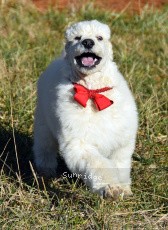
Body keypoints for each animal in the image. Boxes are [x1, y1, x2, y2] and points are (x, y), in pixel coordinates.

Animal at [33, 20, 138, 199]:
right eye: (77, 38)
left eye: (100, 38)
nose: (88, 42)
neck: (92, 91)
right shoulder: (79, 143)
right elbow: (98, 165)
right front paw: (110, 187)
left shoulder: (121, 142)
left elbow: (121, 165)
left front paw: (123, 188)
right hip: (43, 123)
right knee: (44, 147)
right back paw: (45, 170)